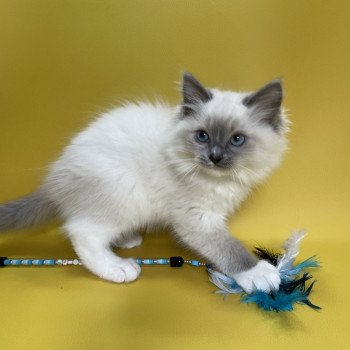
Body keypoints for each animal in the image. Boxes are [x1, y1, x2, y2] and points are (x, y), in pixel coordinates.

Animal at [0, 72, 290, 292]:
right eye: (203, 136)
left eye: (237, 139)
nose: (215, 157)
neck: (219, 181)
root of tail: (54, 179)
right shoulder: (197, 218)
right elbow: (228, 248)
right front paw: (259, 273)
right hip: (126, 195)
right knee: (82, 232)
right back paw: (118, 267)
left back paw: (127, 239)